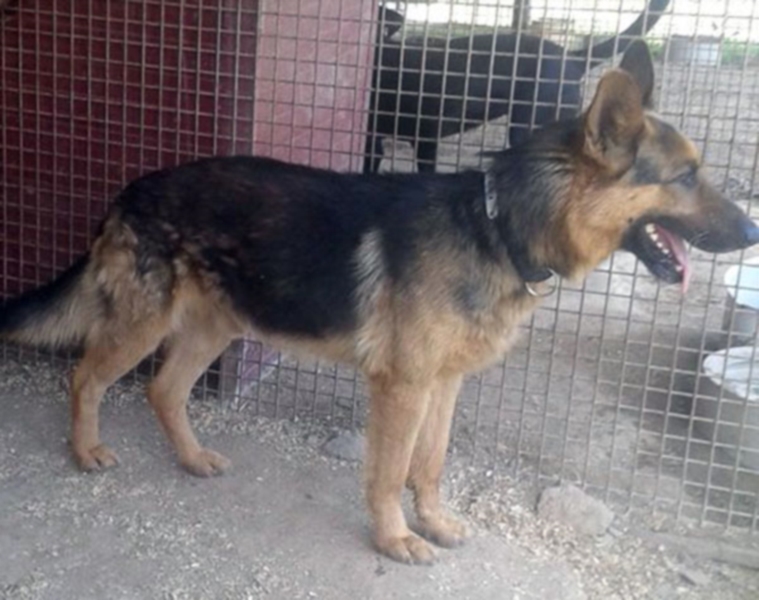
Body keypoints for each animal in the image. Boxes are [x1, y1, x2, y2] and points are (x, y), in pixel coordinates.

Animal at [2, 41, 758, 564]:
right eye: (685, 177)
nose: (752, 232)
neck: (497, 226)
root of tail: (129, 190)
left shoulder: (442, 384)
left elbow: (431, 464)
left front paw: (435, 521)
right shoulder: (402, 386)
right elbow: (391, 472)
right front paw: (394, 539)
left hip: (218, 327)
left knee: (163, 390)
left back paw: (190, 459)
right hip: (144, 323)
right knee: (86, 377)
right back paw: (86, 450)